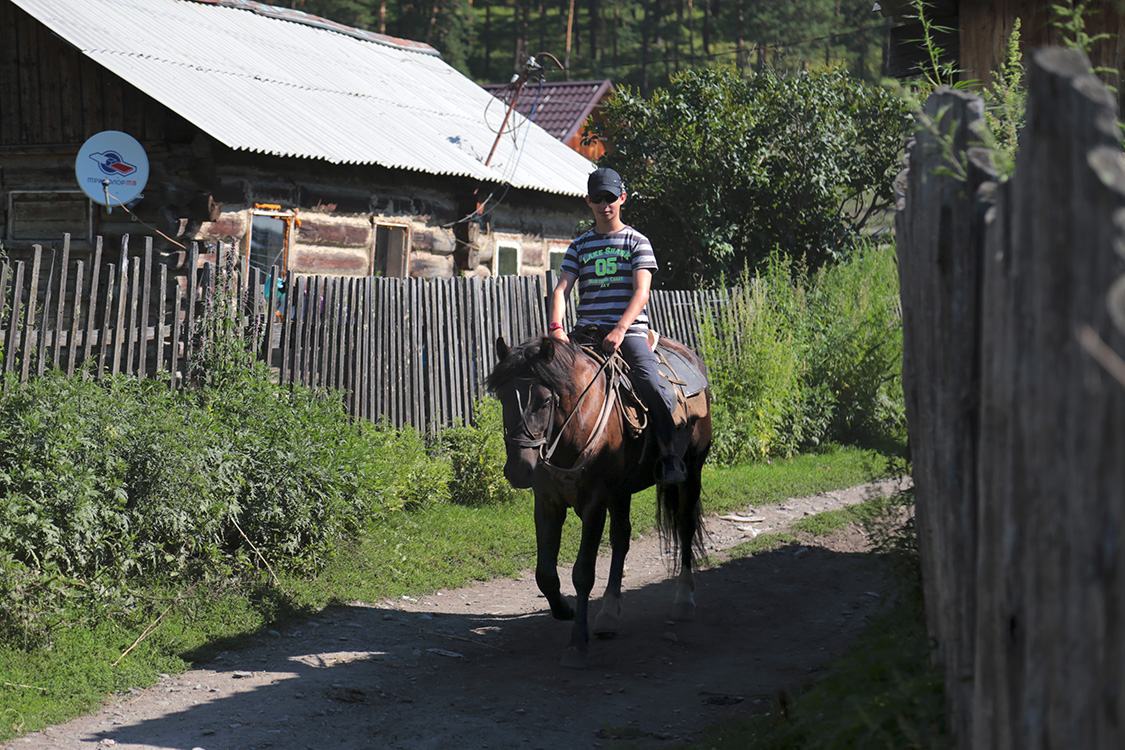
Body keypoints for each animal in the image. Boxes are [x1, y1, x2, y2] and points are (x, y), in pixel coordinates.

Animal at [486, 335, 711, 670]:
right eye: (502, 398)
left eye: (544, 401)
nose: (519, 469)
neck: (573, 426)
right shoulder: (548, 503)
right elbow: (545, 573)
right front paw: (564, 609)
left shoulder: (594, 504)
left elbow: (583, 572)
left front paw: (577, 644)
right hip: (621, 492)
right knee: (621, 538)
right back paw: (608, 614)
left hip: (691, 471)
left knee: (684, 525)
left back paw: (684, 600)